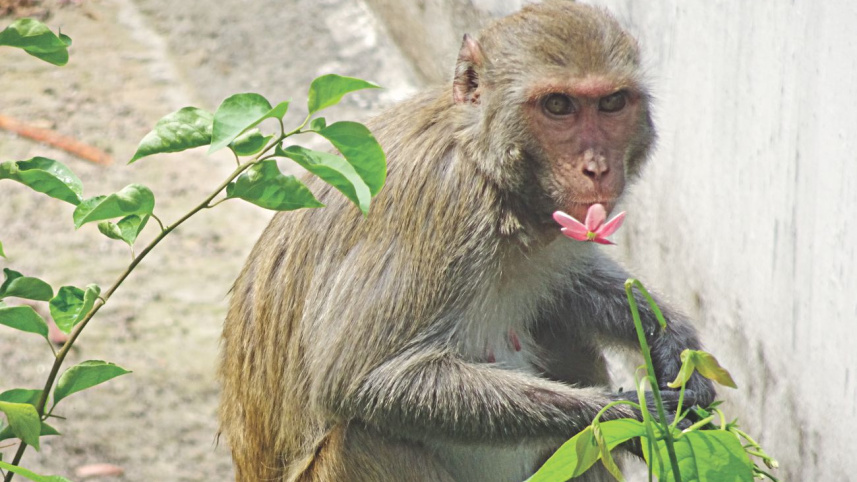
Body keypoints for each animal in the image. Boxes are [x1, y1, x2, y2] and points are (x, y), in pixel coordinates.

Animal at [218, 2, 715, 481]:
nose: (597, 168)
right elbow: (364, 379)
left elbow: (569, 288)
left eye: (612, 102)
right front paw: (633, 416)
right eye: (558, 105)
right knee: (363, 437)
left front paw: (671, 340)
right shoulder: (444, 208)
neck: (484, 164)